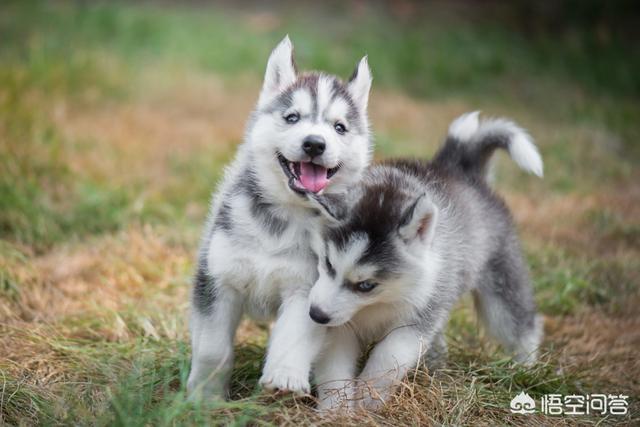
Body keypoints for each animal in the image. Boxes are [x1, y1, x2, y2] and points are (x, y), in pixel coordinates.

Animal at [186, 35, 376, 400]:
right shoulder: (218, 279)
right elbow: (212, 349)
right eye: (292, 117)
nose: (315, 143)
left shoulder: (307, 289)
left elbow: (293, 336)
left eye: (339, 127)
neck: (285, 216)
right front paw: (205, 397)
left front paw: (284, 377)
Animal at [308, 113, 544, 412]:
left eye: (367, 285)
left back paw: (526, 368)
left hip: (500, 283)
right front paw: (335, 409)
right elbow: (334, 365)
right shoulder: (340, 323)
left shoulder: (417, 319)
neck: (381, 301)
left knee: (521, 323)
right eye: (328, 264)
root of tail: (457, 169)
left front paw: (368, 399)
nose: (316, 314)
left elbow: (389, 355)